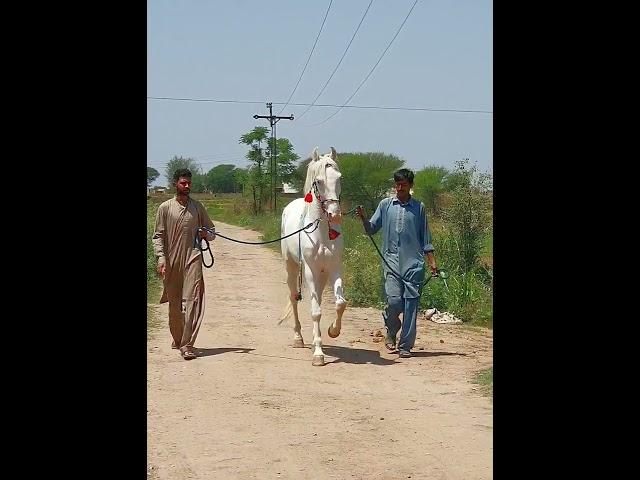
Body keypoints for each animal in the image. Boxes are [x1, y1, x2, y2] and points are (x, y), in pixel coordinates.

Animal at [280, 148, 344, 366]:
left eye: (339, 177)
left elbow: (340, 304)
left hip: (322, 274)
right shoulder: (310, 270)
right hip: (291, 267)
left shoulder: (333, 268)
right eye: (319, 181)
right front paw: (318, 354)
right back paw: (298, 338)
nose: (335, 215)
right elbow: (315, 312)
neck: (322, 231)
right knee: (293, 298)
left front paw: (333, 331)